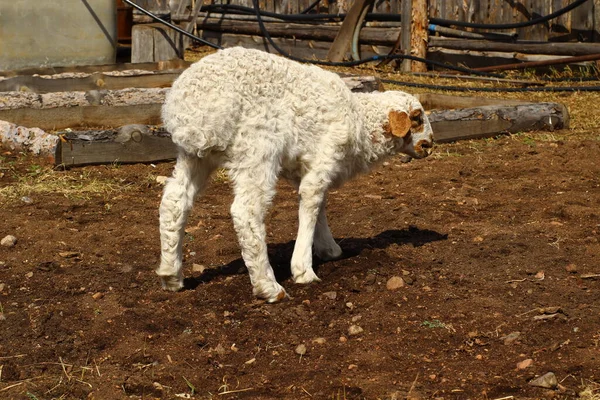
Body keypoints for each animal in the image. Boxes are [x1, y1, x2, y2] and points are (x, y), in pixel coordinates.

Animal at [157, 47, 434, 302]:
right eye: (417, 118)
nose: (429, 144)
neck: (360, 122)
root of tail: (192, 107)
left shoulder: (306, 169)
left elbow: (318, 204)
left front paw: (329, 249)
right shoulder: (325, 155)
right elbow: (311, 204)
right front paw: (304, 270)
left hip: (194, 155)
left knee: (174, 201)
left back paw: (171, 275)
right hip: (256, 148)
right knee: (246, 212)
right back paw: (269, 287)